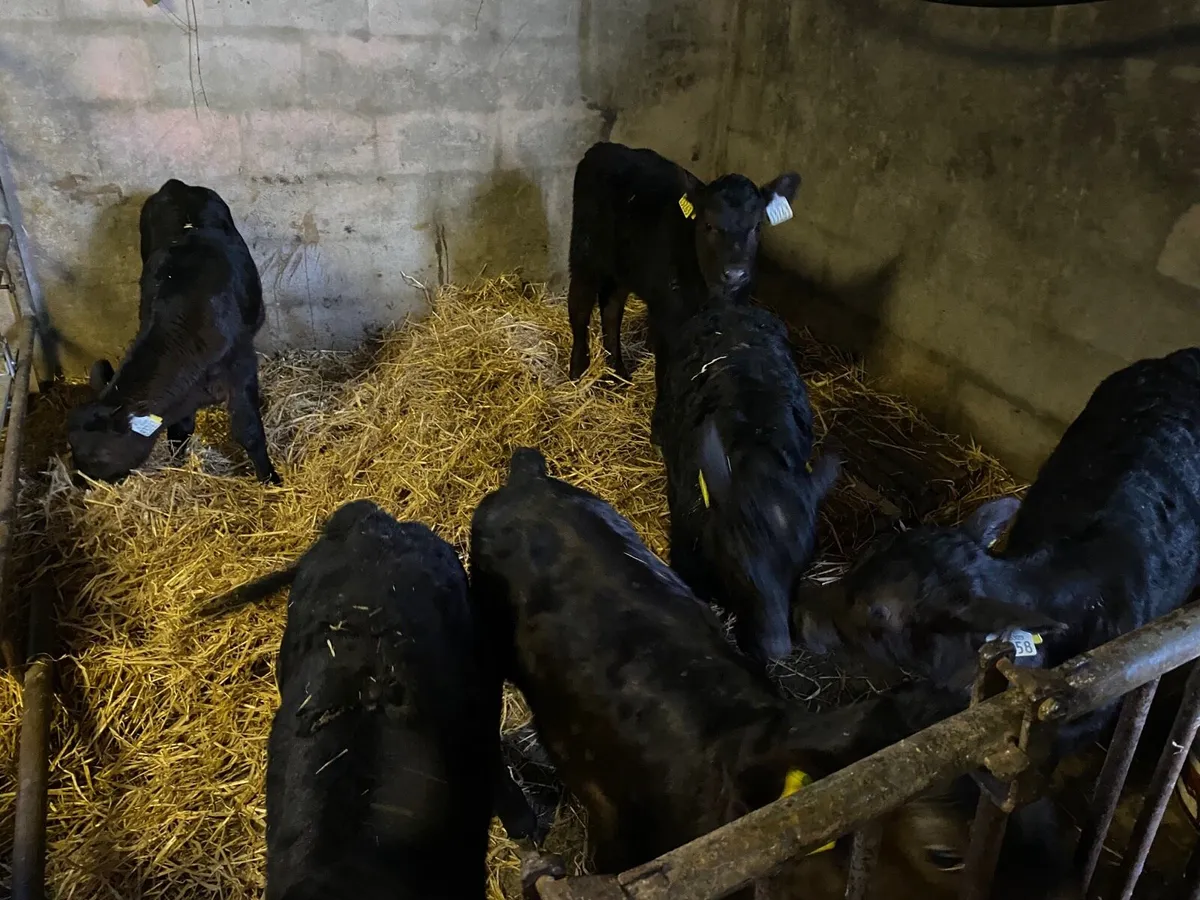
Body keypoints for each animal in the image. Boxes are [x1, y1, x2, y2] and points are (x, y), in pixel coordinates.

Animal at [67, 178, 279, 485]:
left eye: (102, 455)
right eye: (71, 446)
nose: (82, 483)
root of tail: (175, 185)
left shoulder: (242, 371)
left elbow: (249, 431)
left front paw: (271, 480)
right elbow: (180, 429)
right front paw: (178, 464)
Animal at [566, 141, 800, 382]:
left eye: (757, 226)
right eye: (708, 224)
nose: (735, 273)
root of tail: (604, 146)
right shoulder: (667, 318)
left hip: (623, 267)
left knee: (611, 309)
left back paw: (617, 373)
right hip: (584, 253)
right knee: (579, 305)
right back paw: (578, 369)